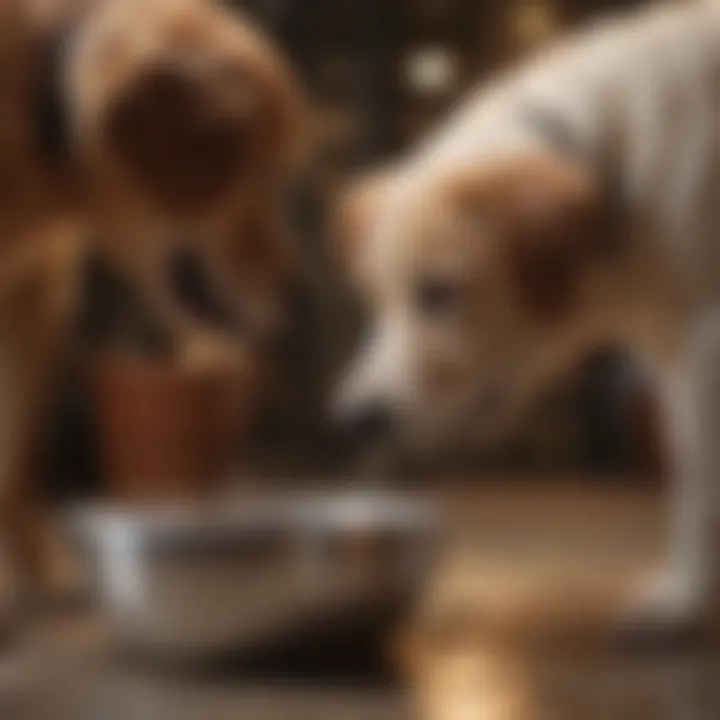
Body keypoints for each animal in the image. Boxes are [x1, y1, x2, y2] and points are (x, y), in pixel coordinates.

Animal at [334, 0, 720, 632]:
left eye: (439, 292)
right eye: (374, 300)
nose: (355, 421)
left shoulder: (703, 345)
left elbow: (698, 483)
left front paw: (682, 600)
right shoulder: (674, 351)